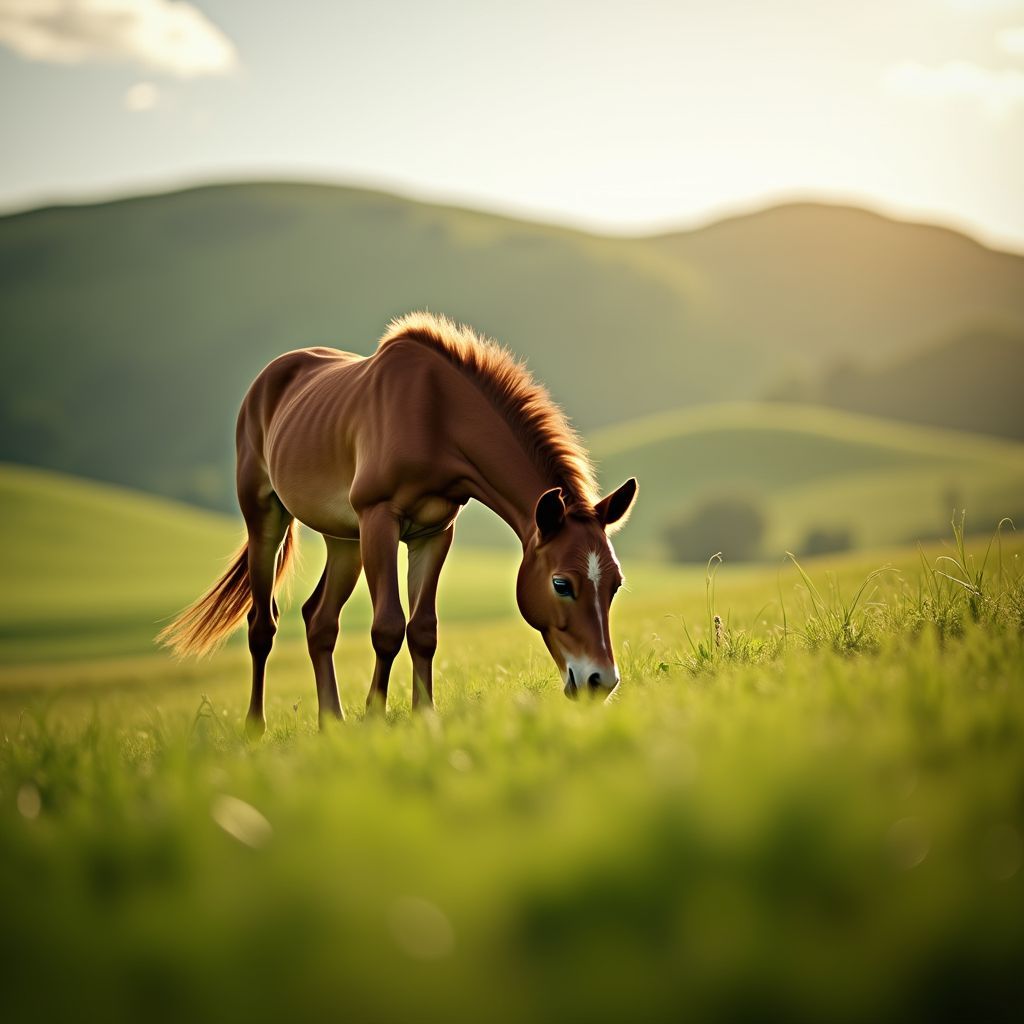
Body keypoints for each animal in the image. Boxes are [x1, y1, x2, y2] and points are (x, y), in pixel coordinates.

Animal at [158, 313, 638, 734]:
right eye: (561, 584)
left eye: (615, 585)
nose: (601, 681)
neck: (436, 415)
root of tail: (269, 379)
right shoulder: (380, 521)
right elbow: (387, 626)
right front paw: (375, 718)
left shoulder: (434, 533)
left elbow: (423, 630)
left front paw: (424, 715)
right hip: (267, 522)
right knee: (263, 625)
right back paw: (255, 727)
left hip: (344, 542)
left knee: (320, 621)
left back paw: (331, 723)